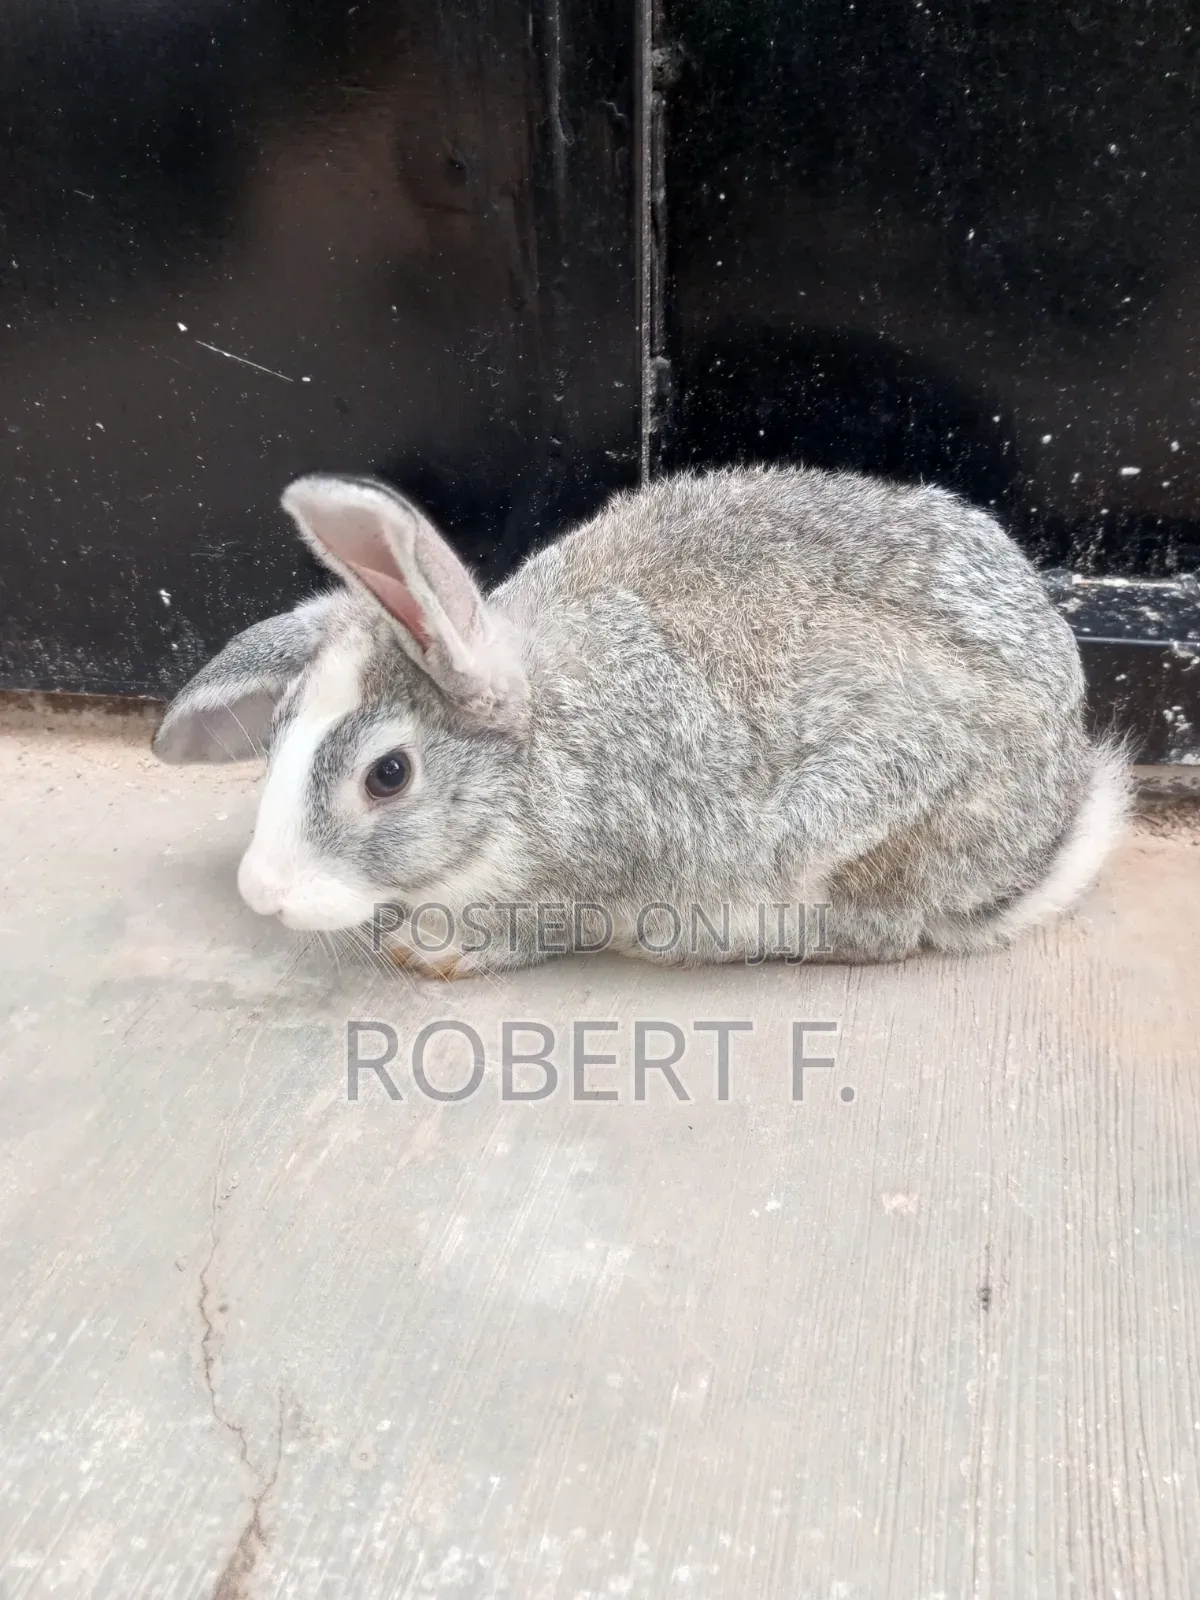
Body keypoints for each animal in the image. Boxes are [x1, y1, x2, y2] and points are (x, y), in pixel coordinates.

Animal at [153, 465, 1129, 977]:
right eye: (278, 731)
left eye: (387, 775)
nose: (261, 892)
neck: (538, 751)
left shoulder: (589, 882)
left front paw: (433, 951)